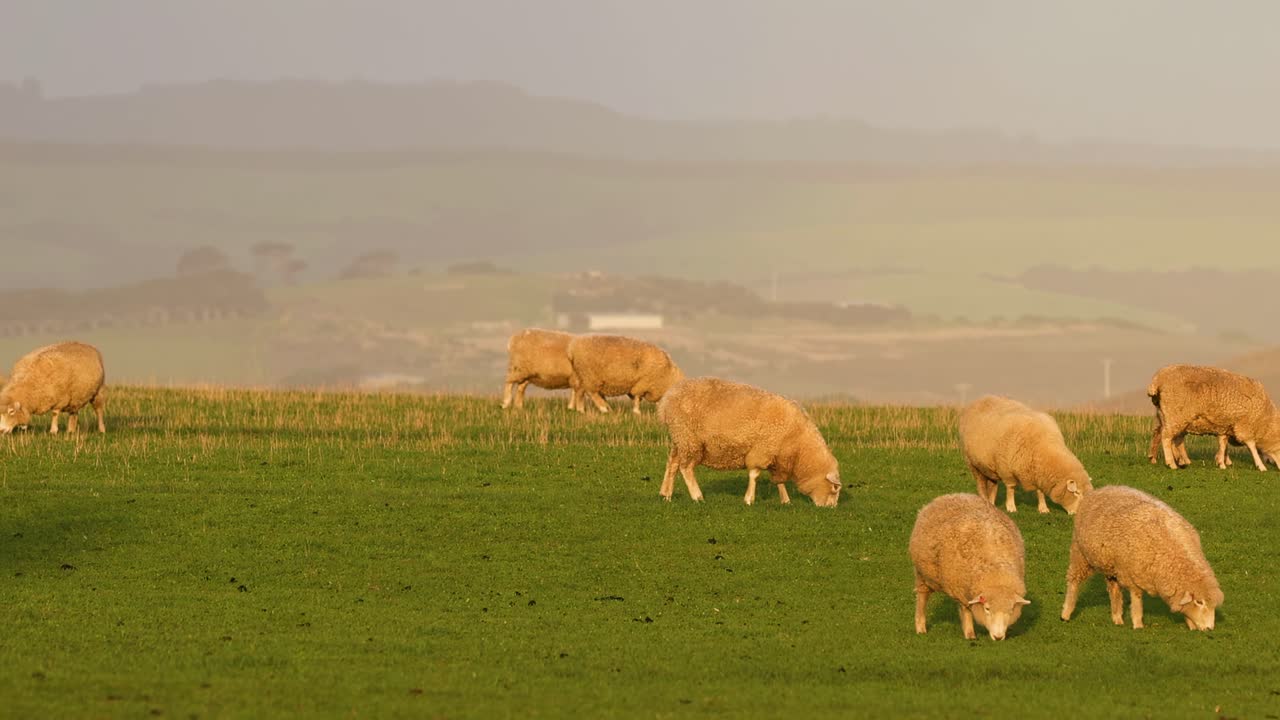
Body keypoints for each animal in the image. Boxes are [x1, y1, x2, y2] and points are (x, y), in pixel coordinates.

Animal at [656, 377, 842, 507]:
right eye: (835, 489)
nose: (831, 508)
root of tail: (667, 399)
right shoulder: (762, 450)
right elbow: (754, 474)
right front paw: (749, 499)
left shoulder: (775, 456)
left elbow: (779, 481)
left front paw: (785, 500)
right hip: (688, 438)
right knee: (685, 468)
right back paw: (697, 496)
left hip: (679, 439)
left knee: (672, 464)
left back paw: (666, 494)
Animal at [909, 493, 1030, 641]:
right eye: (987, 609)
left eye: (1011, 610)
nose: (998, 637)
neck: (996, 570)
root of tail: (951, 495)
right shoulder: (961, 590)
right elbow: (966, 611)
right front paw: (970, 635)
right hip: (922, 573)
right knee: (922, 597)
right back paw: (921, 627)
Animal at [957, 395, 1093, 514]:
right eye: (1077, 493)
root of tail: (981, 399)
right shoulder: (1006, 469)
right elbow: (1010, 489)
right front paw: (1011, 507)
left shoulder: (1037, 473)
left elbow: (1040, 491)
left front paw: (1043, 508)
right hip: (972, 463)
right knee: (980, 484)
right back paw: (985, 501)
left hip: (990, 466)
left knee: (993, 484)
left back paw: (992, 504)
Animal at [1061, 485, 1223, 631]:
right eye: (1199, 602)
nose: (1210, 628)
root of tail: (1102, 489)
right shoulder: (1133, 577)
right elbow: (1137, 601)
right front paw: (1138, 625)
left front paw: (1191, 625)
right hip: (1080, 554)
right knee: (1074, 582)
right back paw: (1066, 613)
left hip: (1110, 567)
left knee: (1114, 591)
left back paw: (1117, 618)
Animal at [1147, 364, 1280, 472]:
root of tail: (1157, 380)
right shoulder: (1244, 425)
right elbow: (1251, 445)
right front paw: (1260, 466)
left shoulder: (1225, 426)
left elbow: (1223, 444)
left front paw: (1221, 462)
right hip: (1175, 415)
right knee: (1166, 437)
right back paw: (1172, 463)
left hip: (1167, 416)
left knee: (1163, 435)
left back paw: (1158, 459)